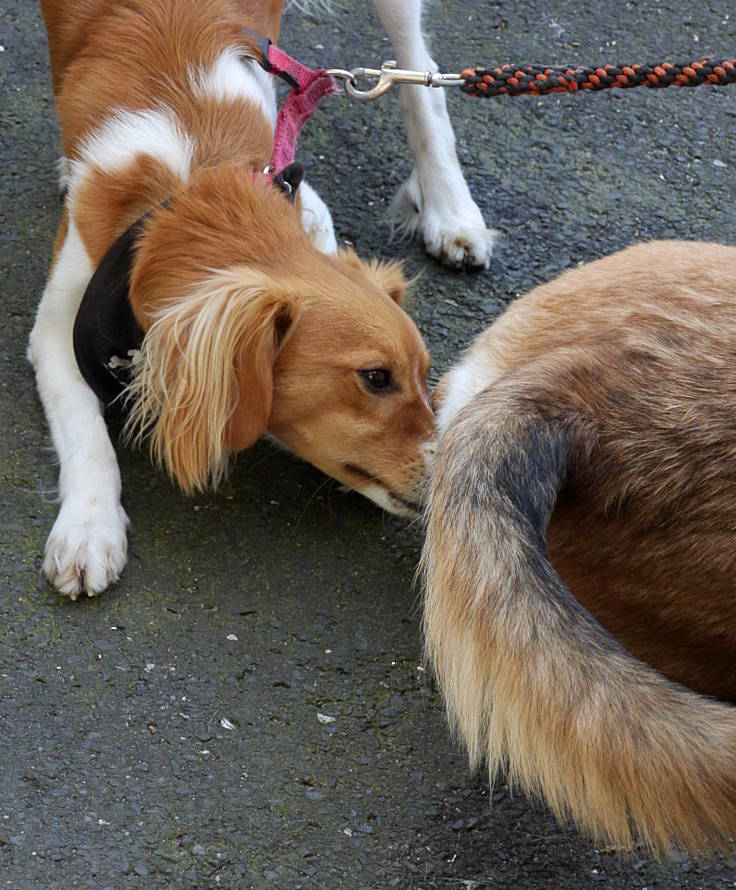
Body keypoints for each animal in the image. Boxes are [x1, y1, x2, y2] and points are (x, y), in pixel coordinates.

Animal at [30, 0, 500, 596]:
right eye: (375, 378)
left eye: (425, 374)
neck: (192, 181)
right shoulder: (55, 323)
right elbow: (84, 427)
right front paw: (89, 527)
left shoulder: (298, 198)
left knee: (422, 79)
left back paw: (452, 211)